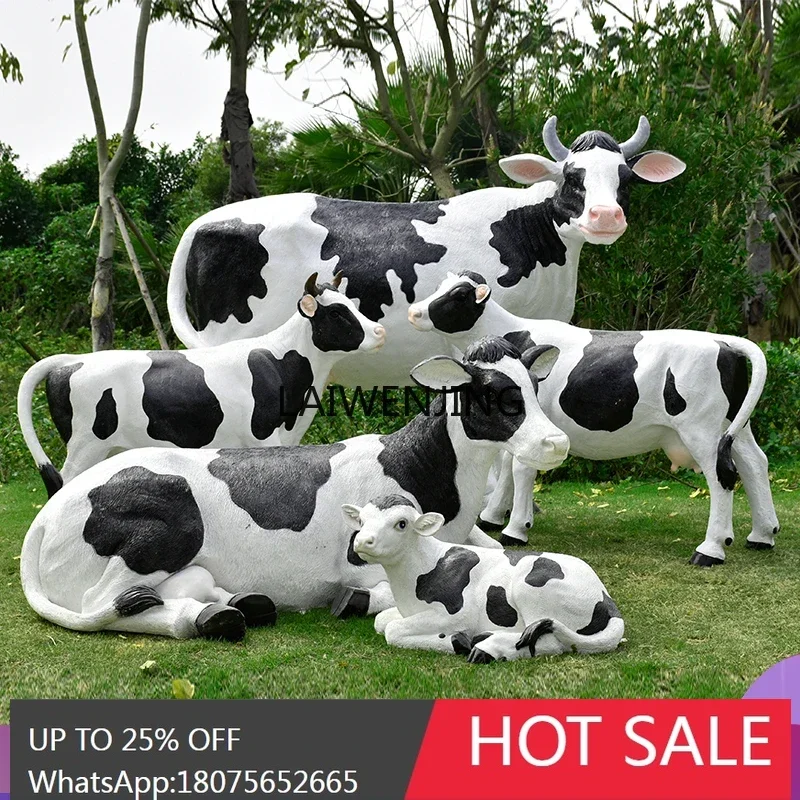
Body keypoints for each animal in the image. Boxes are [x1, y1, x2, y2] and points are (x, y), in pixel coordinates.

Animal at [17, 275, 385, 498]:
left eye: (354, 305)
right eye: (337, 312)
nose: (379, 332)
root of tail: (72, 361)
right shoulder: (262, 437)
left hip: (106, 449)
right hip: (84, 446)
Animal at [19, 336, 571, 640]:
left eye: (532, 385)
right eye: (493, 392)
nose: (556, 441)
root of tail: (48, 513)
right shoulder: (360, 560)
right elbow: (379, 592)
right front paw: (353, 601)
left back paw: (236, 605)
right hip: (164, 526)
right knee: (105, 603)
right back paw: (208, 618)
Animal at [341, 495, 624, 663]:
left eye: (401, 524)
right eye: (362, 521)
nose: (362, 541)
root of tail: (605, 597)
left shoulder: (456, 614)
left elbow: (392, 629)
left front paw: (456, 641)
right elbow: (381, 621)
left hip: (530, 589)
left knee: (549, 641)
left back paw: (486, 649)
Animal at [408, 272, 779, 566]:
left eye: (458, 294)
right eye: (441, 285)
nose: (414, 311)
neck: (513, 333)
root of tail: (722, 341)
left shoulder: (535, 421)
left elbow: (520, 469)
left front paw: (515, 529)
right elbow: (506, 466)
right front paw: (493, 516)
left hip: (700, 428)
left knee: (722, 475)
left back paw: (711, 549)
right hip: (732, 425)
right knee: (754, 463)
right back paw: (762, 535)